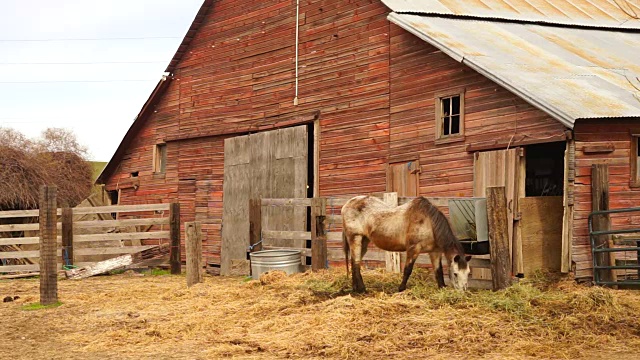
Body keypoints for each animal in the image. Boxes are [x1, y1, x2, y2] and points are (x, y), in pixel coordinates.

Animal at [342, 197, 472, 292]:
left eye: (468, 273)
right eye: (455, 274)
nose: (463, 291)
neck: (428, 222)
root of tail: (347, 204)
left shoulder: (435, 252)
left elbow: (438, 271)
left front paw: (441, 287)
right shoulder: (413, 249)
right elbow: (407, 270)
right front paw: (401, 289)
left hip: (364, 241)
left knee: (354, 261)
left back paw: (355, 288)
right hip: (355, 238)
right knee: (356, 263)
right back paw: (361, 289)